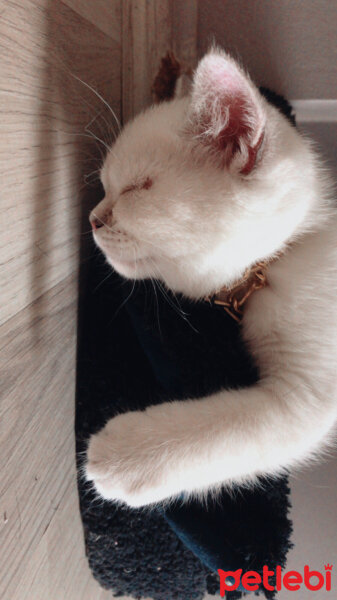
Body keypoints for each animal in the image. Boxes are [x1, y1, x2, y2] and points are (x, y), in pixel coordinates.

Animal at [84, 49, 336, 506]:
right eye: (105, 187)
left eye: (134, 189)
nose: (92, 219)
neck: (279, 260)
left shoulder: (309, 398)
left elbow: (233, 433)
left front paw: (126, 457)